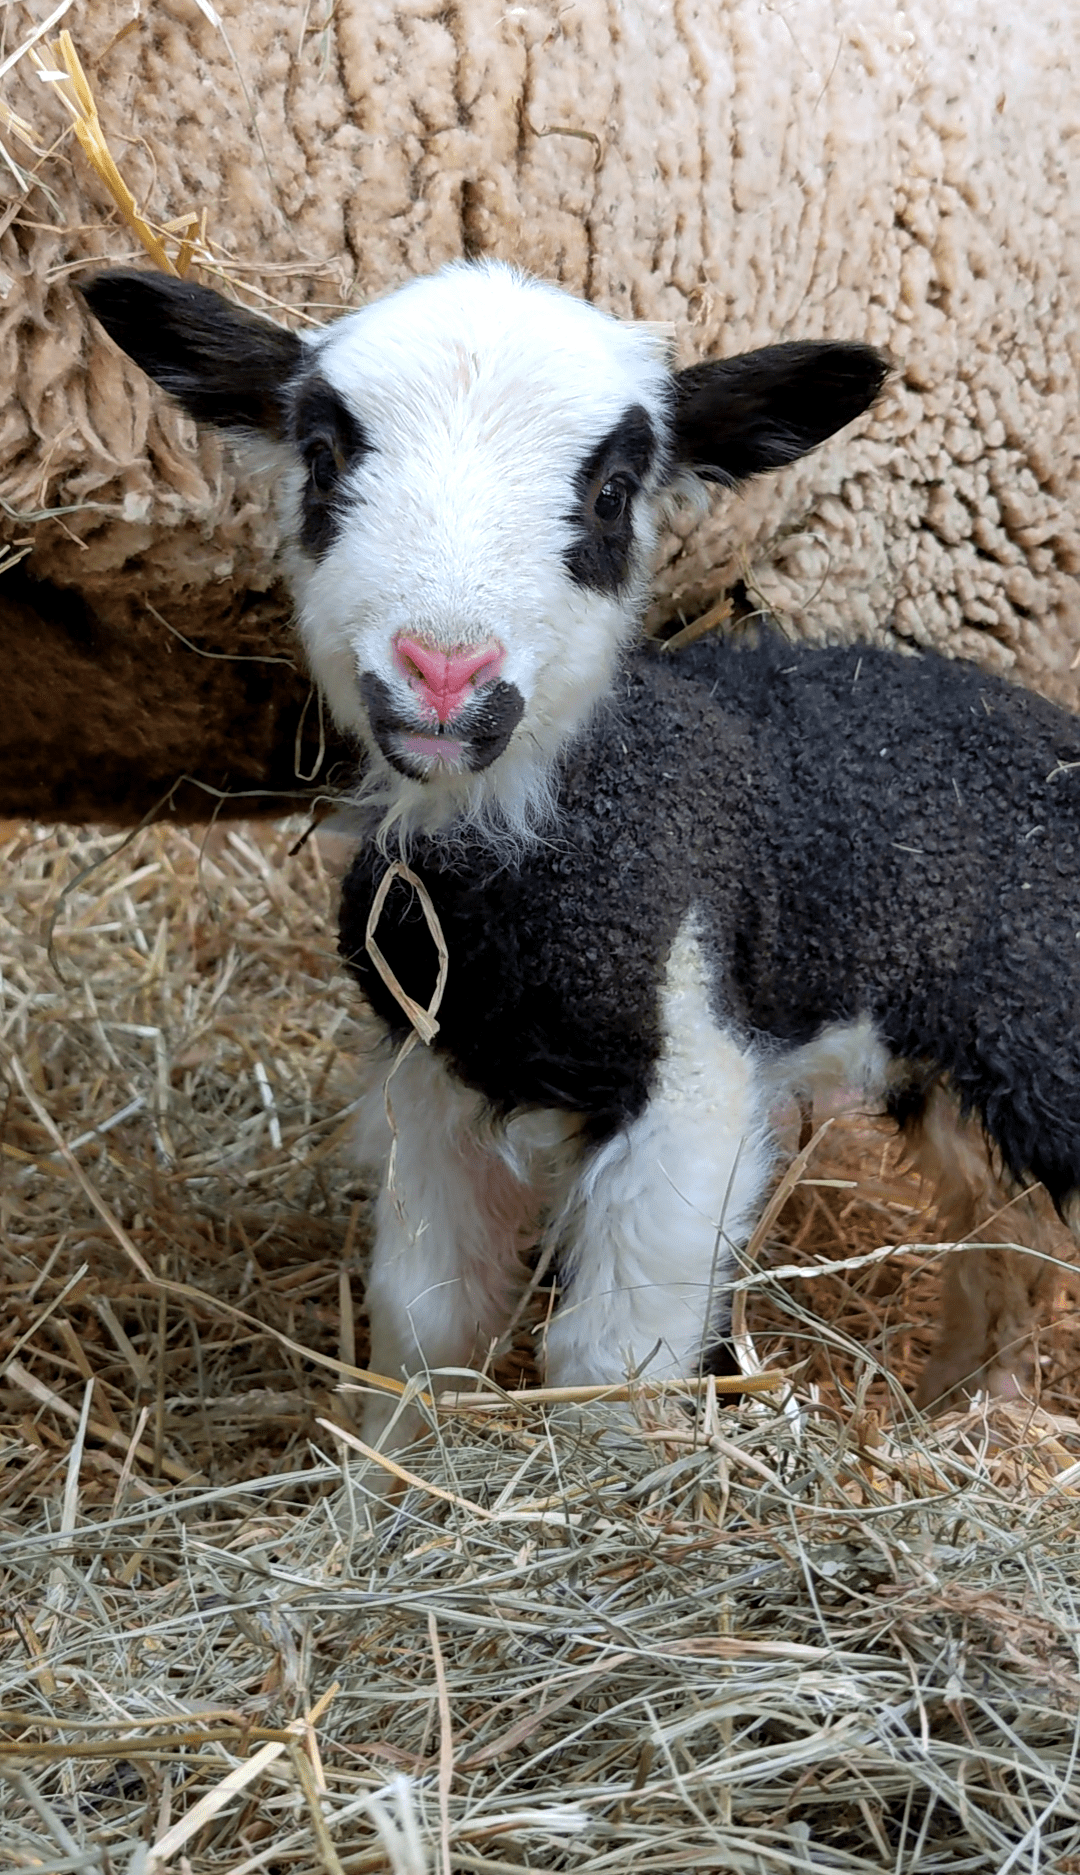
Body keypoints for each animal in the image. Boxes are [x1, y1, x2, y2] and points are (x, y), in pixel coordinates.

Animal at [86, 256, 1080, 1440]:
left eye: (610, 492)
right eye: (323, 457)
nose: (444, 673)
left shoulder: (694, 1083)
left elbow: (610, 1360)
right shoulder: (432, 1070)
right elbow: (424, 1322)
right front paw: (392, 1469)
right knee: (1003, 1239)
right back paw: (965, 1407)